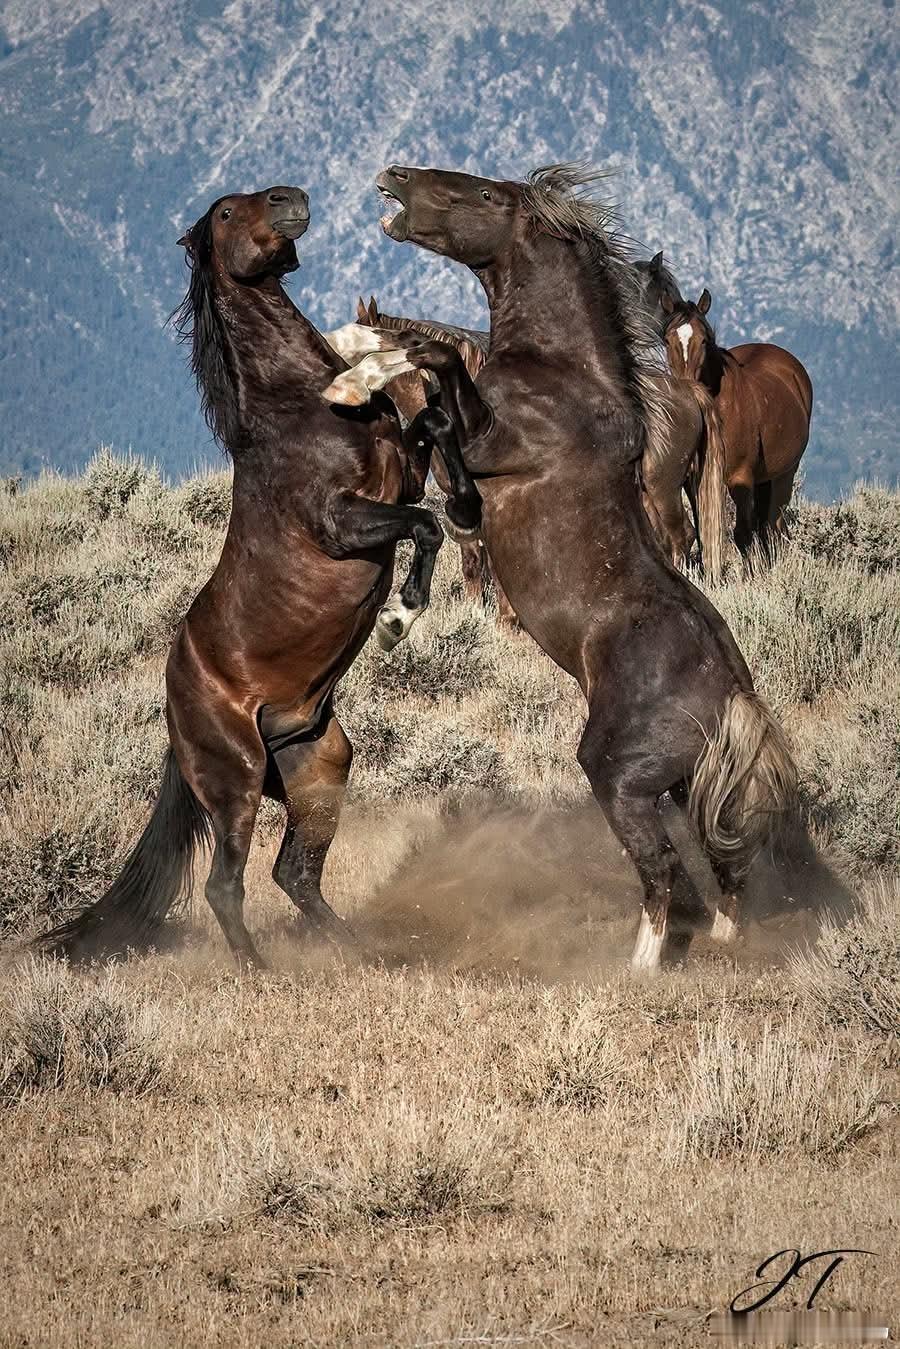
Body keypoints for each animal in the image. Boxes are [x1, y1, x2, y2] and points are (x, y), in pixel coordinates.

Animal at [38, 184, 479, 968]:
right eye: (221, 212)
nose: (290, 197)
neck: (303, 405)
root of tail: (176, 716)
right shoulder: (344, 521)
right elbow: (423, 522)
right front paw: (399, 619)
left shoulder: (399, 465)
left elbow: (433, 428)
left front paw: (467, 501)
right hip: (237, 780)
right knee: (227, 884)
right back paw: (258, 969)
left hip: (321, 763)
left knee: (293, 873)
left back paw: (356, 952)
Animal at [662, 288, 813, 558]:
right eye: (667, 341)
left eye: (704, 340)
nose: (686, 391)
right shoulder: (694, 482)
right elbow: (703, 533)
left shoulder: (741, 479)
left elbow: (743, 535)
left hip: (785, 473)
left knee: (774, 526)